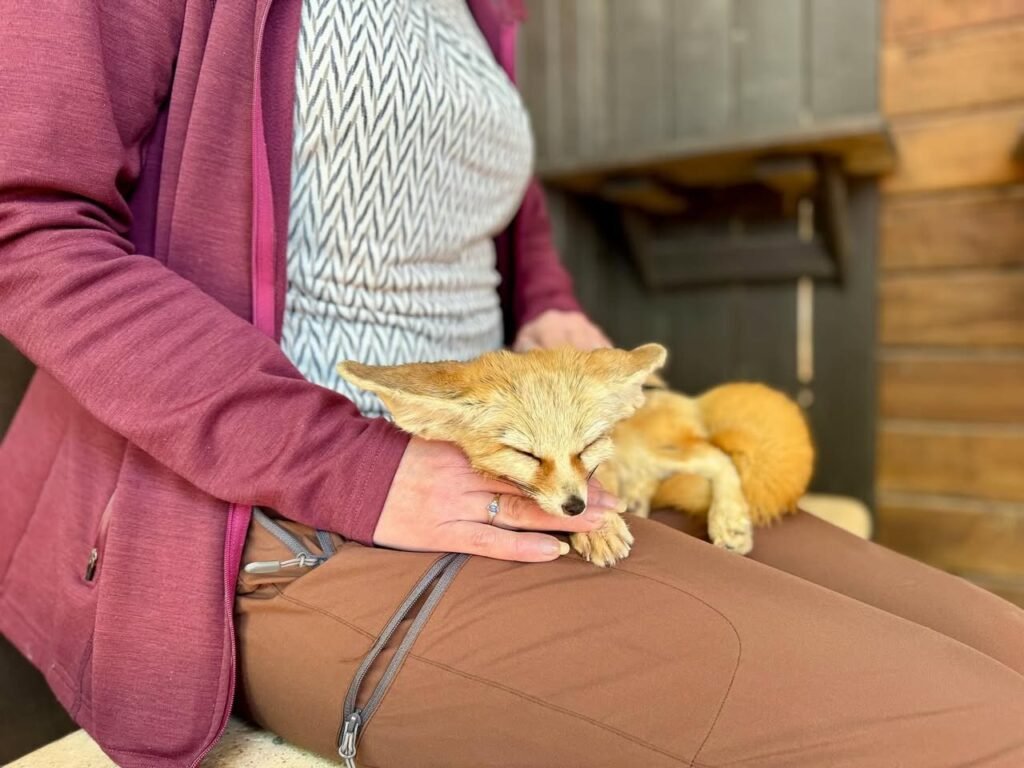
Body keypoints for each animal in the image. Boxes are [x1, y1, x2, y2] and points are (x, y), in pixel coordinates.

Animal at [338, 343, 814, 566]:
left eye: (585, 447)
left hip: (655, 451)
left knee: (719, 456)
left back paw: (729, 519)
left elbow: (599, 483)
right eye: (526, 454)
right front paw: (598, 523)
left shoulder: (600, 471)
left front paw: (600, 526)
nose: (575, 507)